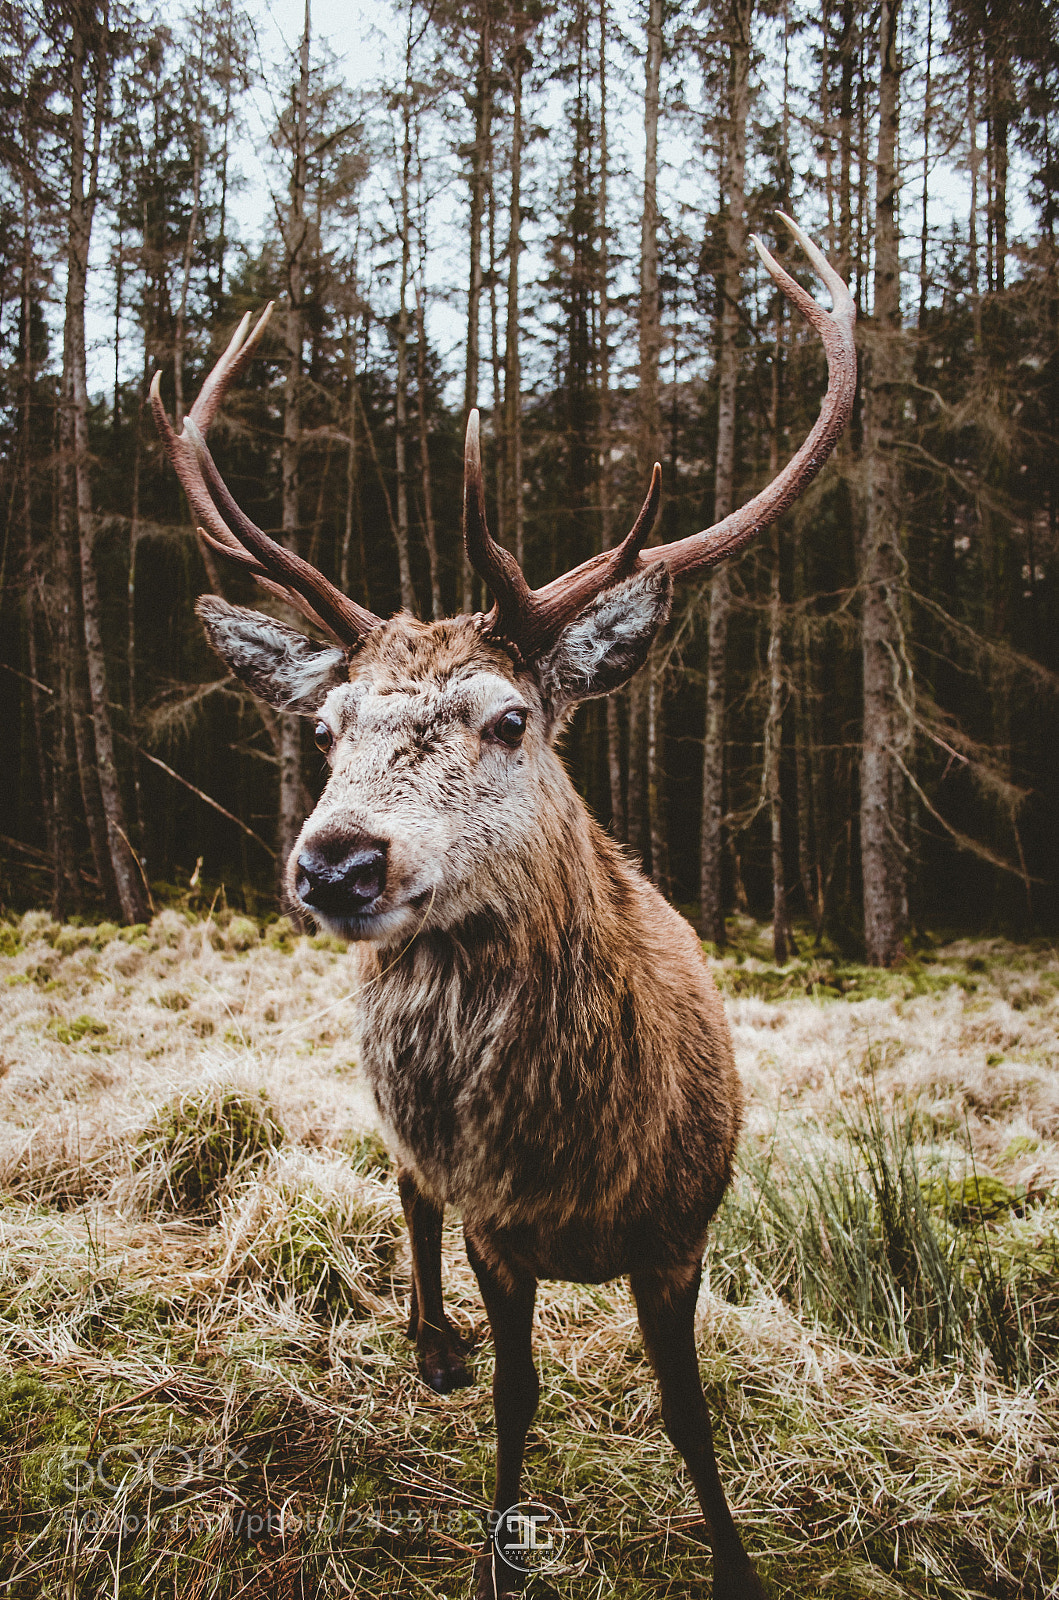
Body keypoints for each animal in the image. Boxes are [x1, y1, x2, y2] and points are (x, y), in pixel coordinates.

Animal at [151, 214, 855, 1600]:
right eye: (327, 726)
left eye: (512, 717)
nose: (337, 863)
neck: (582, 1169)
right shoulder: (495, 1226)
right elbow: (517, 1390)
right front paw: (499, 1548)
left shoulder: (686, 1226)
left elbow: (688, 1411)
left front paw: (737, 1561)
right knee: (405, 1182)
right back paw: (431, 1342)